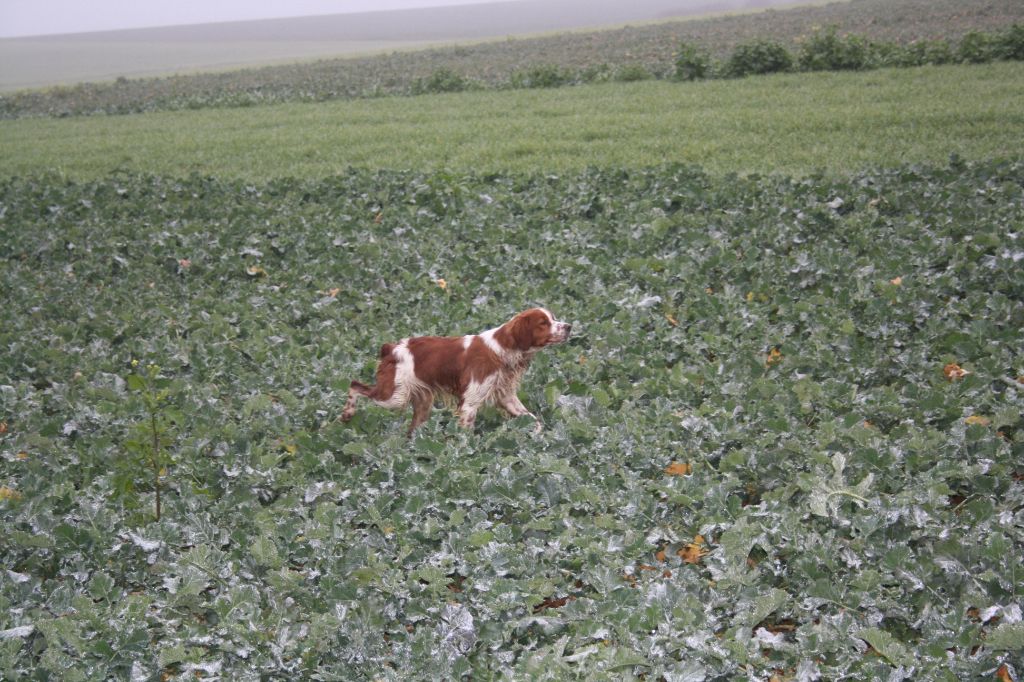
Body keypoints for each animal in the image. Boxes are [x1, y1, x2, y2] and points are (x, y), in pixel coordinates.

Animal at [342, 307, 569, 432]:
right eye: (543, 323)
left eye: (554, 318)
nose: (569, 326)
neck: (501, 349)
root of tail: (390, 347)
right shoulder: (469, 403)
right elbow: (465, 434)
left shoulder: (506, 397)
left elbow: (535, 421)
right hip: (394, 396)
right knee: (354, 384)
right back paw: (346, 414)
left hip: (421, 404)